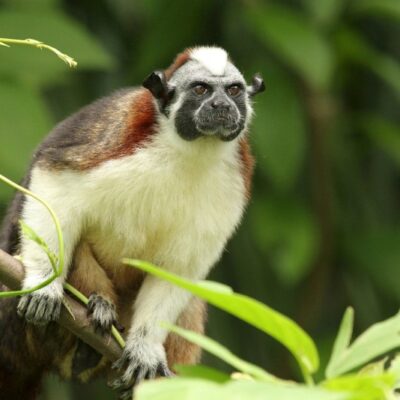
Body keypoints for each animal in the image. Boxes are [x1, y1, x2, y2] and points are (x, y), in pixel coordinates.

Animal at [0, 46, 264, 396]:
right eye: (201, 90)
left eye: (233, 91)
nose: (221, 106)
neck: (192, 149)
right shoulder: (118, 142)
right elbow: (54, 178)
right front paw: (45, 285)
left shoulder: (235, 182)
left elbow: (181, 268)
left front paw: (145, 348)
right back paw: (97, 308)